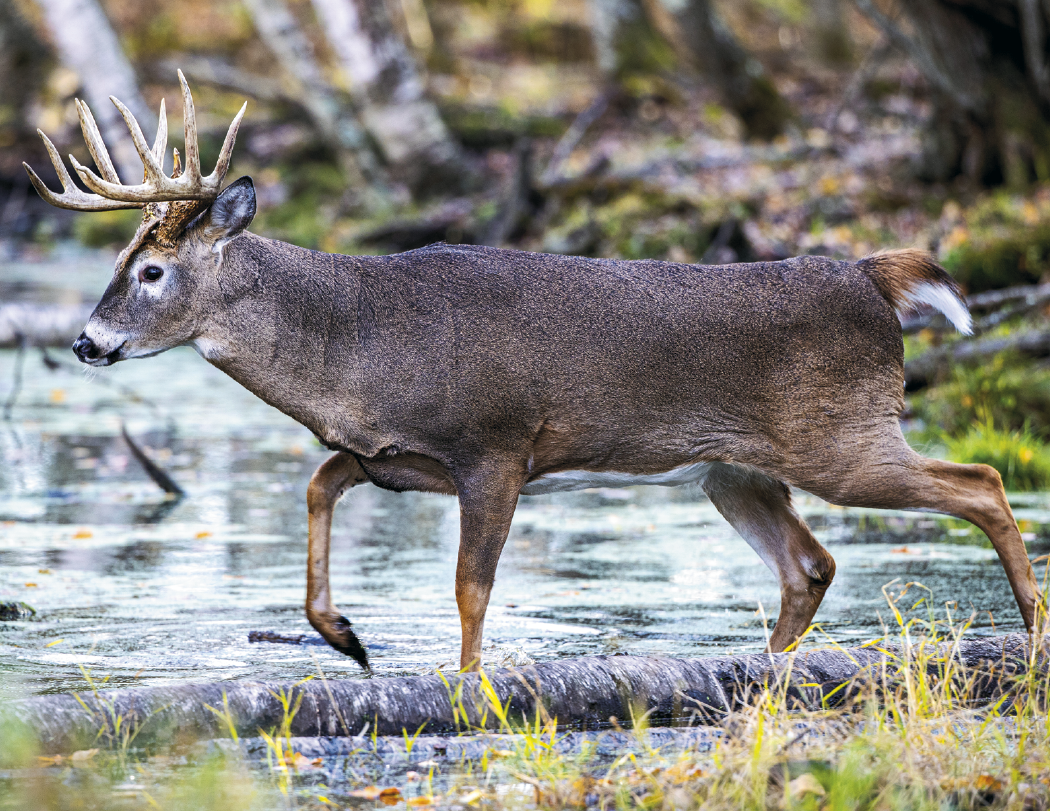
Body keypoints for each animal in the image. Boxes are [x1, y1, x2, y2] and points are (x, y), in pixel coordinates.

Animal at [25, 74, 1045, 673]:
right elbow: (317, 483)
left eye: (152, 272)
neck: (356, 339)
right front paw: (345, 637)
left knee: (983, 481)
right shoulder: (398, 456)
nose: (84, 342)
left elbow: (470, 586)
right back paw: (764, 676)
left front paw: (467, 684)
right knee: (813, 563)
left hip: (842, 433)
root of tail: (874, 274)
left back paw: (1032, 630)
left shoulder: (498, 444)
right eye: (117, 259)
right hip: (735, 470)